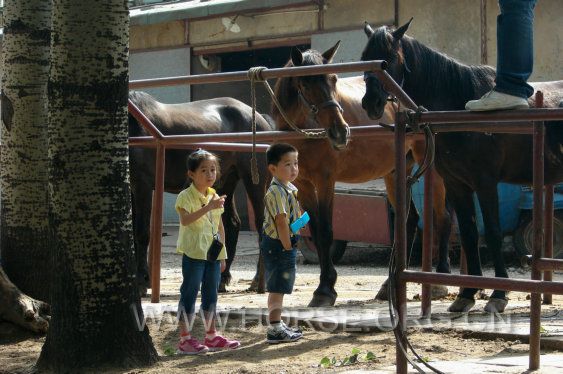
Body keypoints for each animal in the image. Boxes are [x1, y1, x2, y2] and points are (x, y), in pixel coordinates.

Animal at [128, 91, 274, 296]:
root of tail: (260, 120)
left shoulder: (143, 185)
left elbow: (141, 233)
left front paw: (142, 282)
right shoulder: (132, 186)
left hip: (255, 182)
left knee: (262, 224)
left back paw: (259, 282)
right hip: (226, 182)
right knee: (232, 224)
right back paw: (223, 279)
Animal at [270, 43, 452, 306]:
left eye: (334, 79)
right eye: (305, 83)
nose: (340, 132)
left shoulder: (325, 180)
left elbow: (326, 231)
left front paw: (325, 289)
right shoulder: (303, 184)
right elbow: (315, 230)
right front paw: (325, 286)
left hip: (427, 164)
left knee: (442, 217)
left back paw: (439, 280)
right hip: (395, 172)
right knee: (406, 221)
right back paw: (389, 285)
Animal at [362, 19, 563, 312]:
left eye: (388, 60)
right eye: (366, 57)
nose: (371, 103)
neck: (459, 105)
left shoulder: (486, 182)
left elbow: (492, 233)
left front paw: (499, 294)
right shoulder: (457, 184)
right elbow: (468, 233)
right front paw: (467, 293)